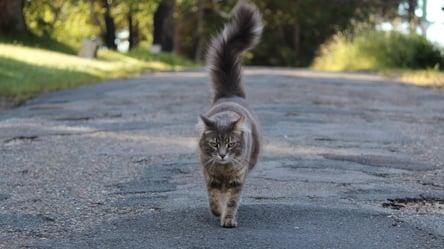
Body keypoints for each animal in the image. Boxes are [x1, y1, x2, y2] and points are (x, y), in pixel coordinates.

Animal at [197, 1, 262, 228]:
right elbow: (214, 198)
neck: (224, 170)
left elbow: (232, 201)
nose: (223, 155)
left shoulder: (237, 179)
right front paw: (217, 212)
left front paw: (228, 219)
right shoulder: (211, 176)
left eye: (231, 144)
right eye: (215, 143)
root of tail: (230, 94)